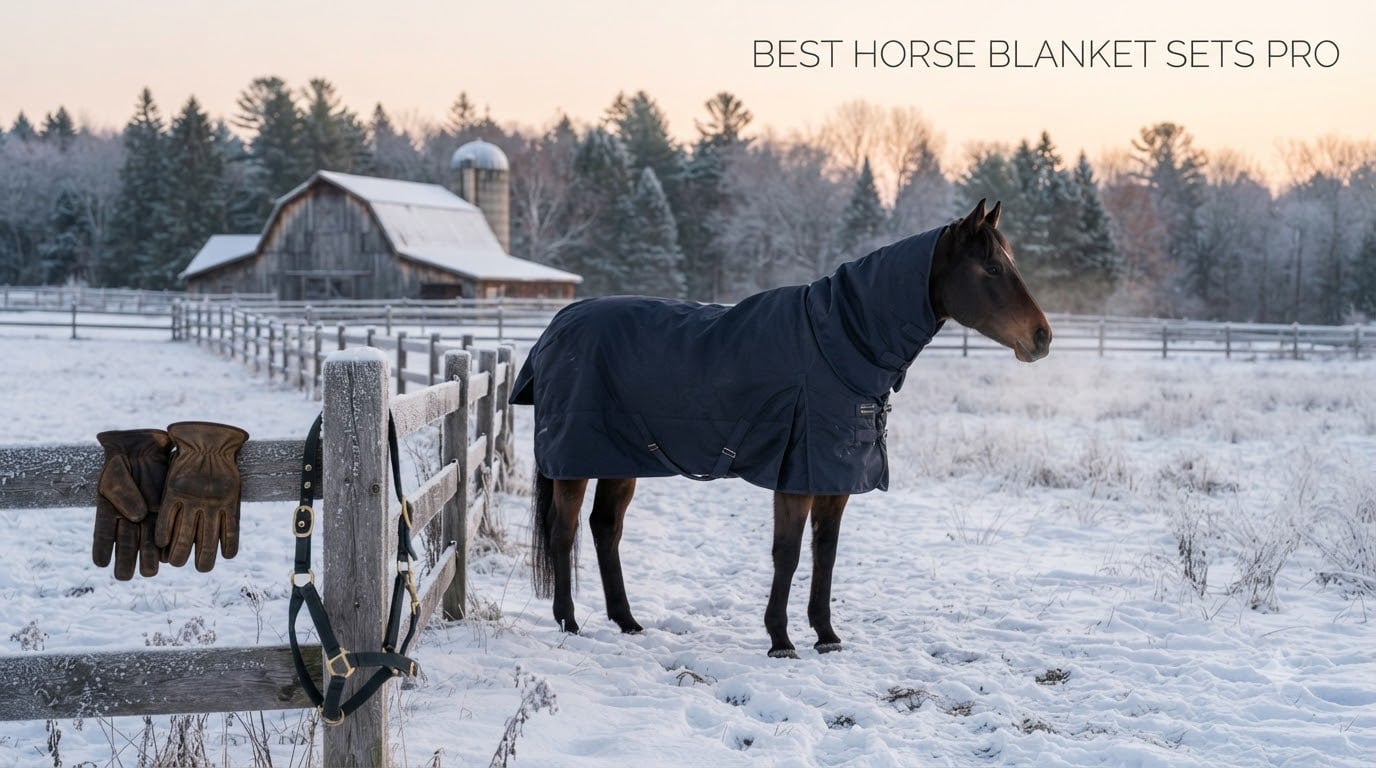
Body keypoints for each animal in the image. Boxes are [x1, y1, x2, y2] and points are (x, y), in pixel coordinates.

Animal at [509, 199, 1051, 658]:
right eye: (993, 268)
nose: (1041, 337)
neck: (838, 343)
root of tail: (556, 328)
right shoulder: (796, 476)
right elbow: (787, 554)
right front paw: (780, 639)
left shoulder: (833, 480)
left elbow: (824, 554)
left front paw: (826, 635)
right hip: (575, 462)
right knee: (564, 532)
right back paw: (569, 622)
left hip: (620, 460)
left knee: (606, 528)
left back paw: (627, 621)